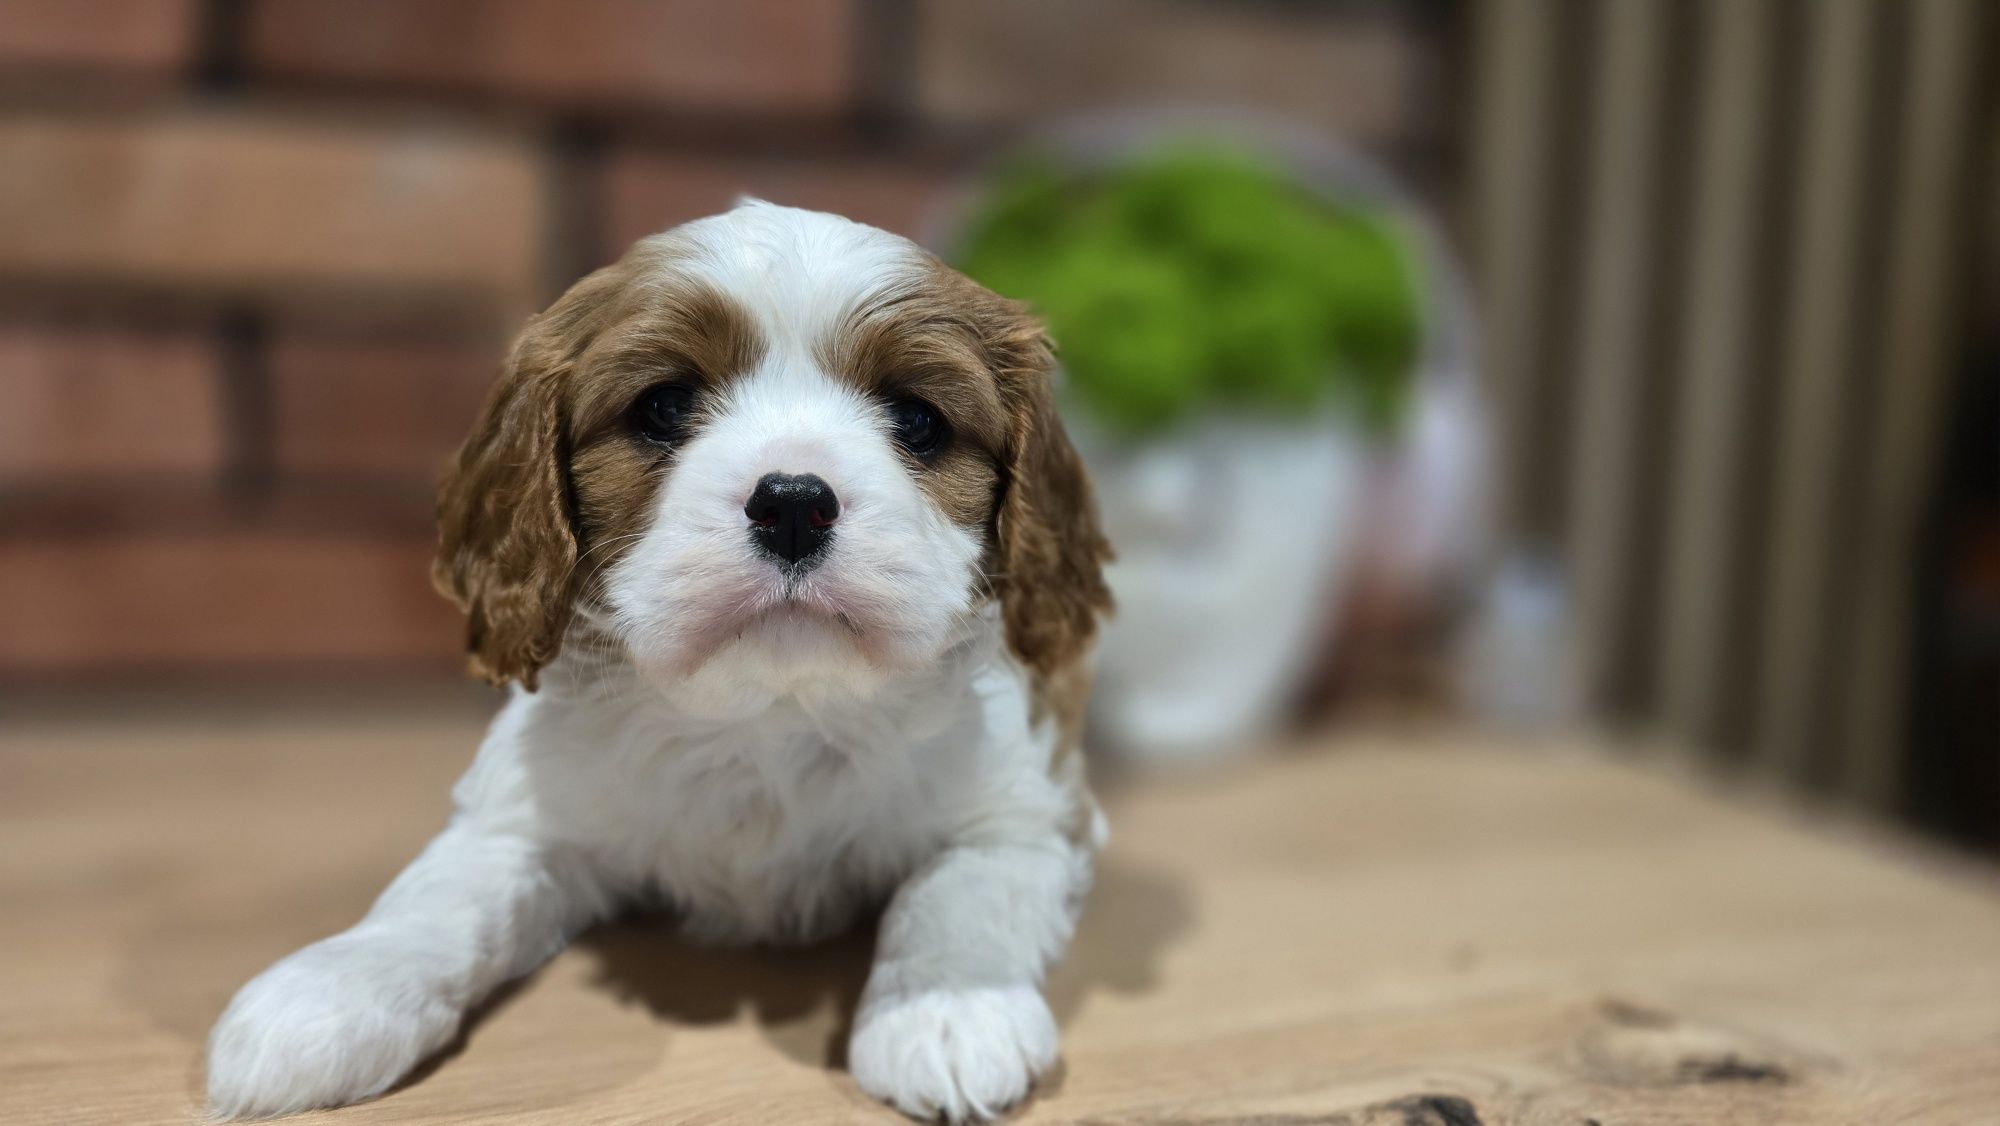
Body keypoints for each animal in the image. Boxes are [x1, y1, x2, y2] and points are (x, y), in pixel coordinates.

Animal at [211, 205, 1120, 1126]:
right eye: (664, 406)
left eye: (919, 421)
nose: (795, 501)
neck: (769, 712)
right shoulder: (524, 816)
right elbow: (437, 897)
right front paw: (332, 988)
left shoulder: (1026, 814)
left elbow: (957, 898)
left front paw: (946, 1011)